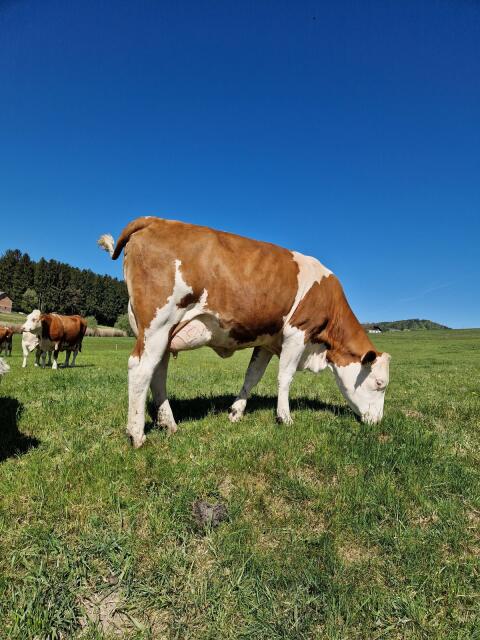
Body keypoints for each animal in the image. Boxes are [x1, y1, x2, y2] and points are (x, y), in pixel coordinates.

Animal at [98, 217, 391, 448]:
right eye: (379, 384)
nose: (378, 422)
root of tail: (153, 219)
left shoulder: (267, 340)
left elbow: (252, 376)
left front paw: (236, 412)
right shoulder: (297, 332)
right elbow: (285, 377)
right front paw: (285, 417)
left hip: (162, 331)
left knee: (157, 372)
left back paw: (169, 424)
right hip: (158, 323)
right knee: (140, 369)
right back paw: (137, 434)